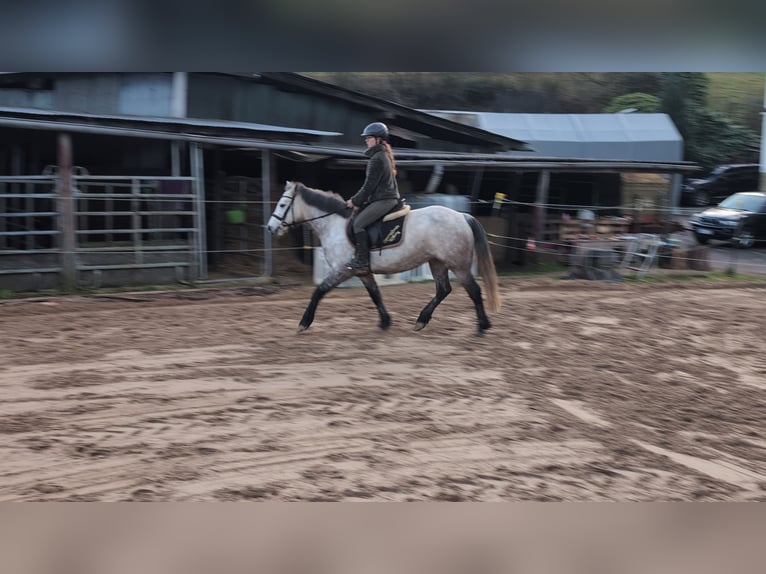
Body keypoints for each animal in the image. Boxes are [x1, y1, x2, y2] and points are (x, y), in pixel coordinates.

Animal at [266, 181, 501, 335]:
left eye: (282, 205)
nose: (270, 227)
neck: (334, 224)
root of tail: (462, 216)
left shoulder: (341, 270)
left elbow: (318, 292)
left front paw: (304, 322)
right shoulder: (363, 272)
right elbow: (375, 294)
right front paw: (385, 322)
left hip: (458, 265)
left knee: (473, 291)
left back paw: (482, 326)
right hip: (437, 262)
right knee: (443, 290)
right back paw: (421, 320)